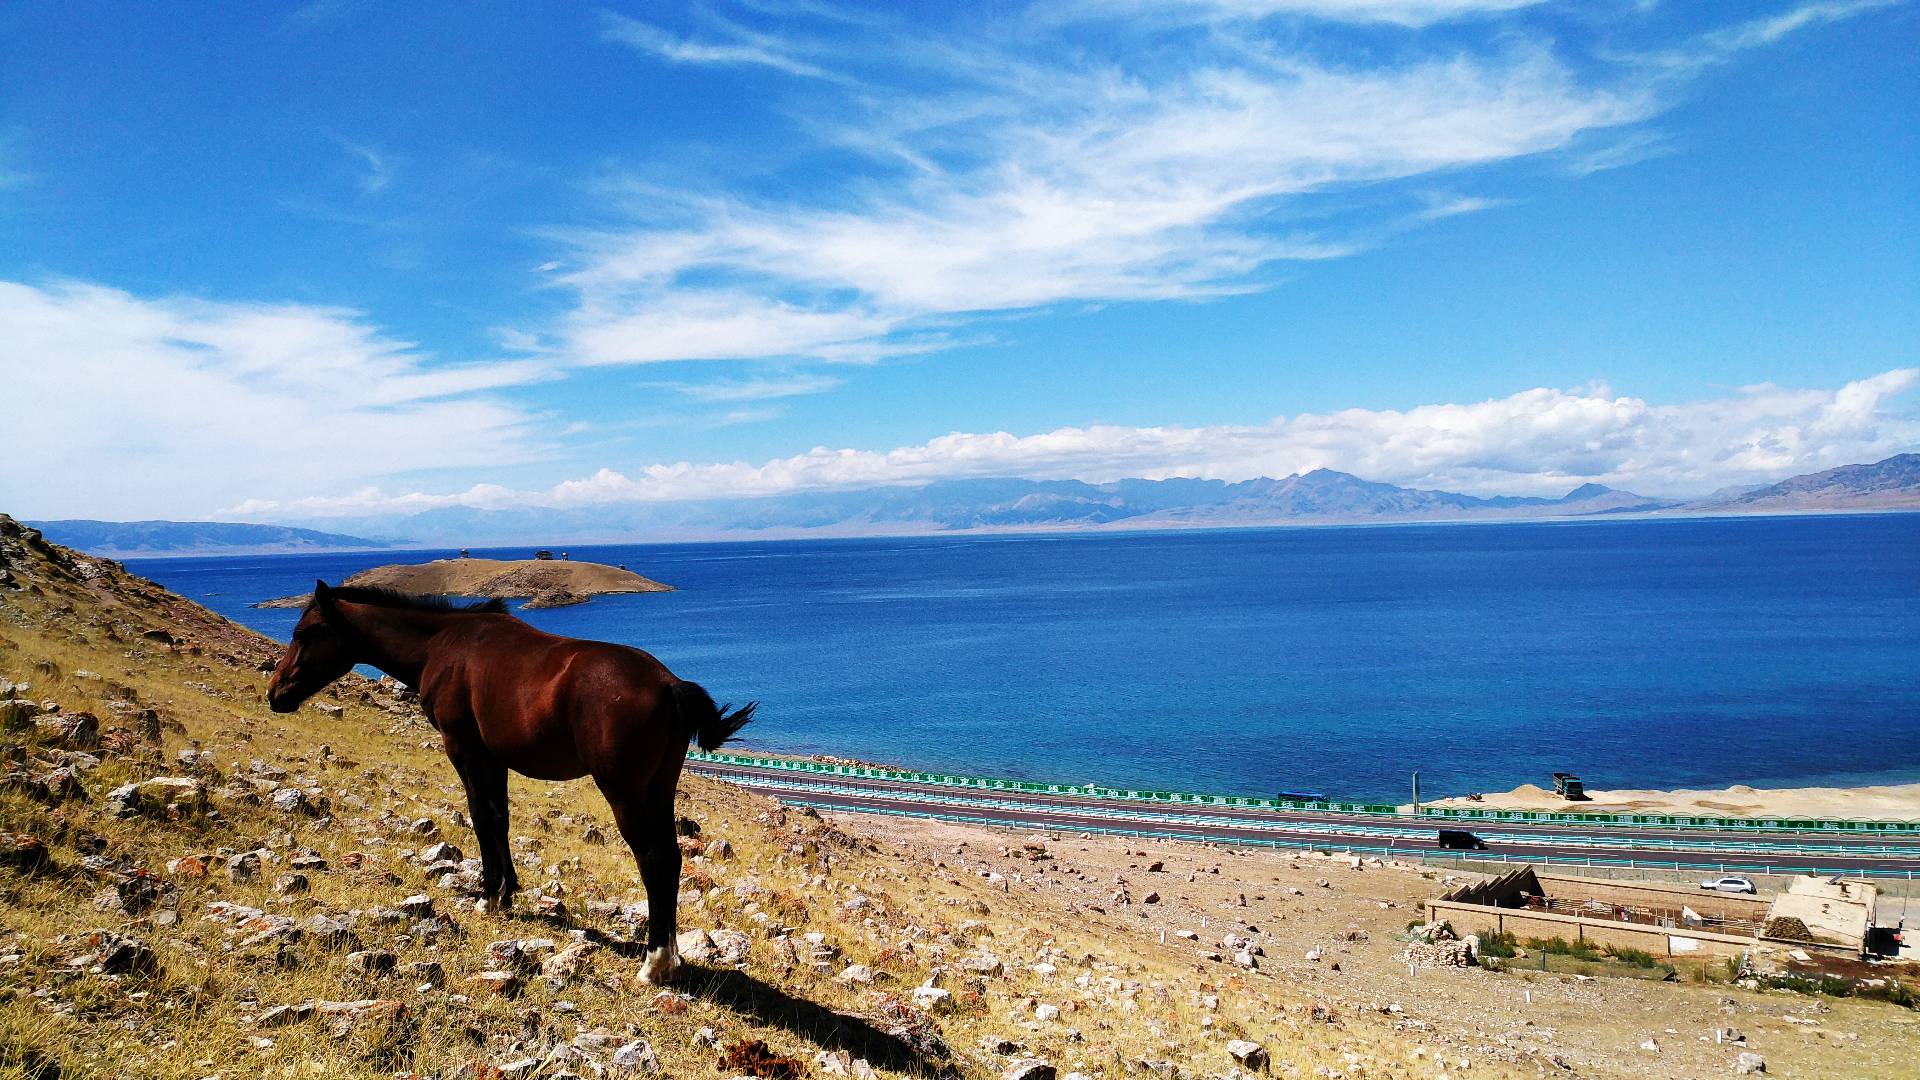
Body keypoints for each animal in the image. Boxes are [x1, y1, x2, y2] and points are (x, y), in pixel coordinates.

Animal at [264, 580, 754, 984]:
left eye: (305, 632)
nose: (275, 693)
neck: (442, 645)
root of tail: (668, 684)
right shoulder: (494, 758)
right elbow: (499, 818)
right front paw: (506, 892)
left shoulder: (464, 750)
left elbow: (481, 818)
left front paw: (487, 896)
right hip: (659, 789)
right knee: (671, 859)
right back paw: (672, 957)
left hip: (625, 793)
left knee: (653, 859)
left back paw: (654, 963)